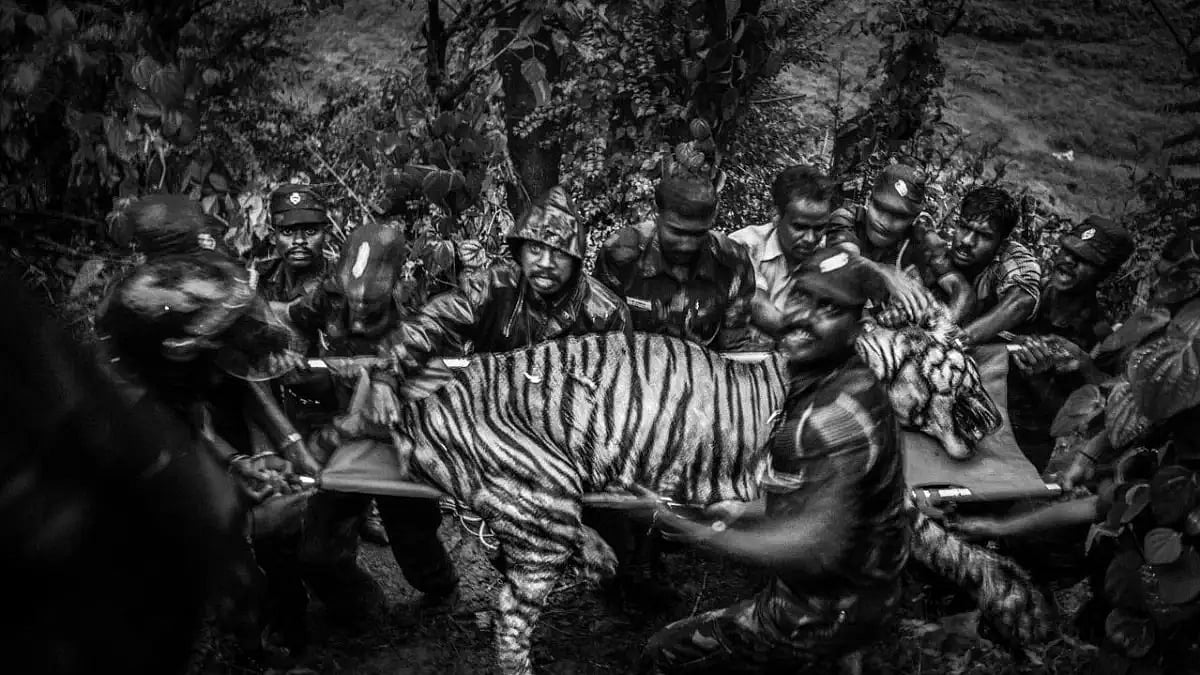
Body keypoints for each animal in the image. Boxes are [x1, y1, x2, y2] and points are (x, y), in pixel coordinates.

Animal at [353, 331, 1047, 674]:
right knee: (511, 615)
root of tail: (419, 410)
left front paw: (1016, 603)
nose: (996, 421)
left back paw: (601, 553)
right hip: (543, 496)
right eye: (973, 372)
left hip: (543, 504)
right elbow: (939, 539)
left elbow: (947, 540)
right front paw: (1017, 602)